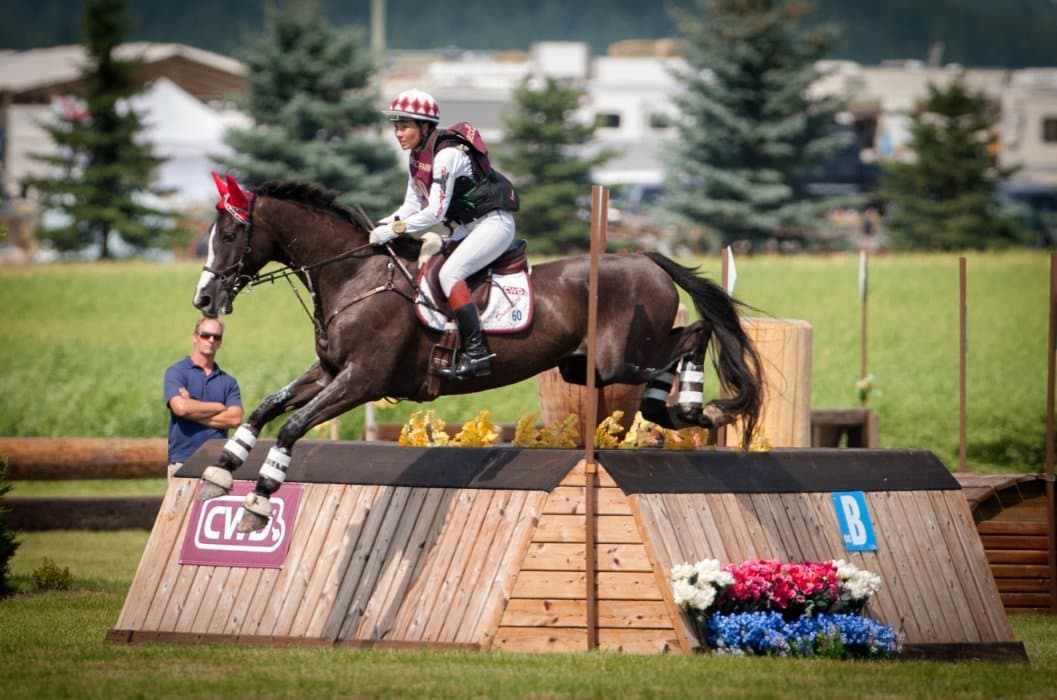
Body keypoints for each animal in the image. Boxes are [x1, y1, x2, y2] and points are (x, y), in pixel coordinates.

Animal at [193, 173, 763, 532]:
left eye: (230, 233)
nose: (203, 300)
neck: (356, 275)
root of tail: (645, 257)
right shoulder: (330, 370)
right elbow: (268, 406)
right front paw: (222, 470)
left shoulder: (362, 380)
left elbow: (292, 425)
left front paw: (257, 501)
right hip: (584, 367)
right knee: (680, 345)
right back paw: (671, 408)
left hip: (614, 358)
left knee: (693, 334)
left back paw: (693, 406)